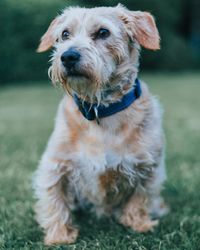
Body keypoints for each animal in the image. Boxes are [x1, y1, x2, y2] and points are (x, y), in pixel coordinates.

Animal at [34, 3, 169, 245]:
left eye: (103, 32)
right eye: (65, 34)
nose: (68, 56)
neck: (99, 111)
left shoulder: (148, 167)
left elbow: (140, 198)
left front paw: (139, 224)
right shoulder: (54, 165)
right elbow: (54, 201)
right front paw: (59, 236)